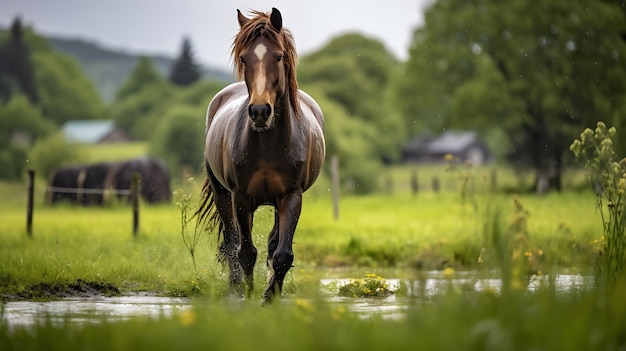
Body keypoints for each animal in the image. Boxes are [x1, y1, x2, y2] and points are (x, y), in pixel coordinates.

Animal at [196, 6, 324, 302]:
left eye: (278, 56)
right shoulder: (241, 197)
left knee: (272, 243)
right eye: (244, 58)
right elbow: (244, 251)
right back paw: (235, 285)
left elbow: (282, 254)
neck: (268, 144)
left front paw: (270, 296)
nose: (259, 111)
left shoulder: (291, 196)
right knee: (232, 241)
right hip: (223, 194)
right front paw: (247, 293)